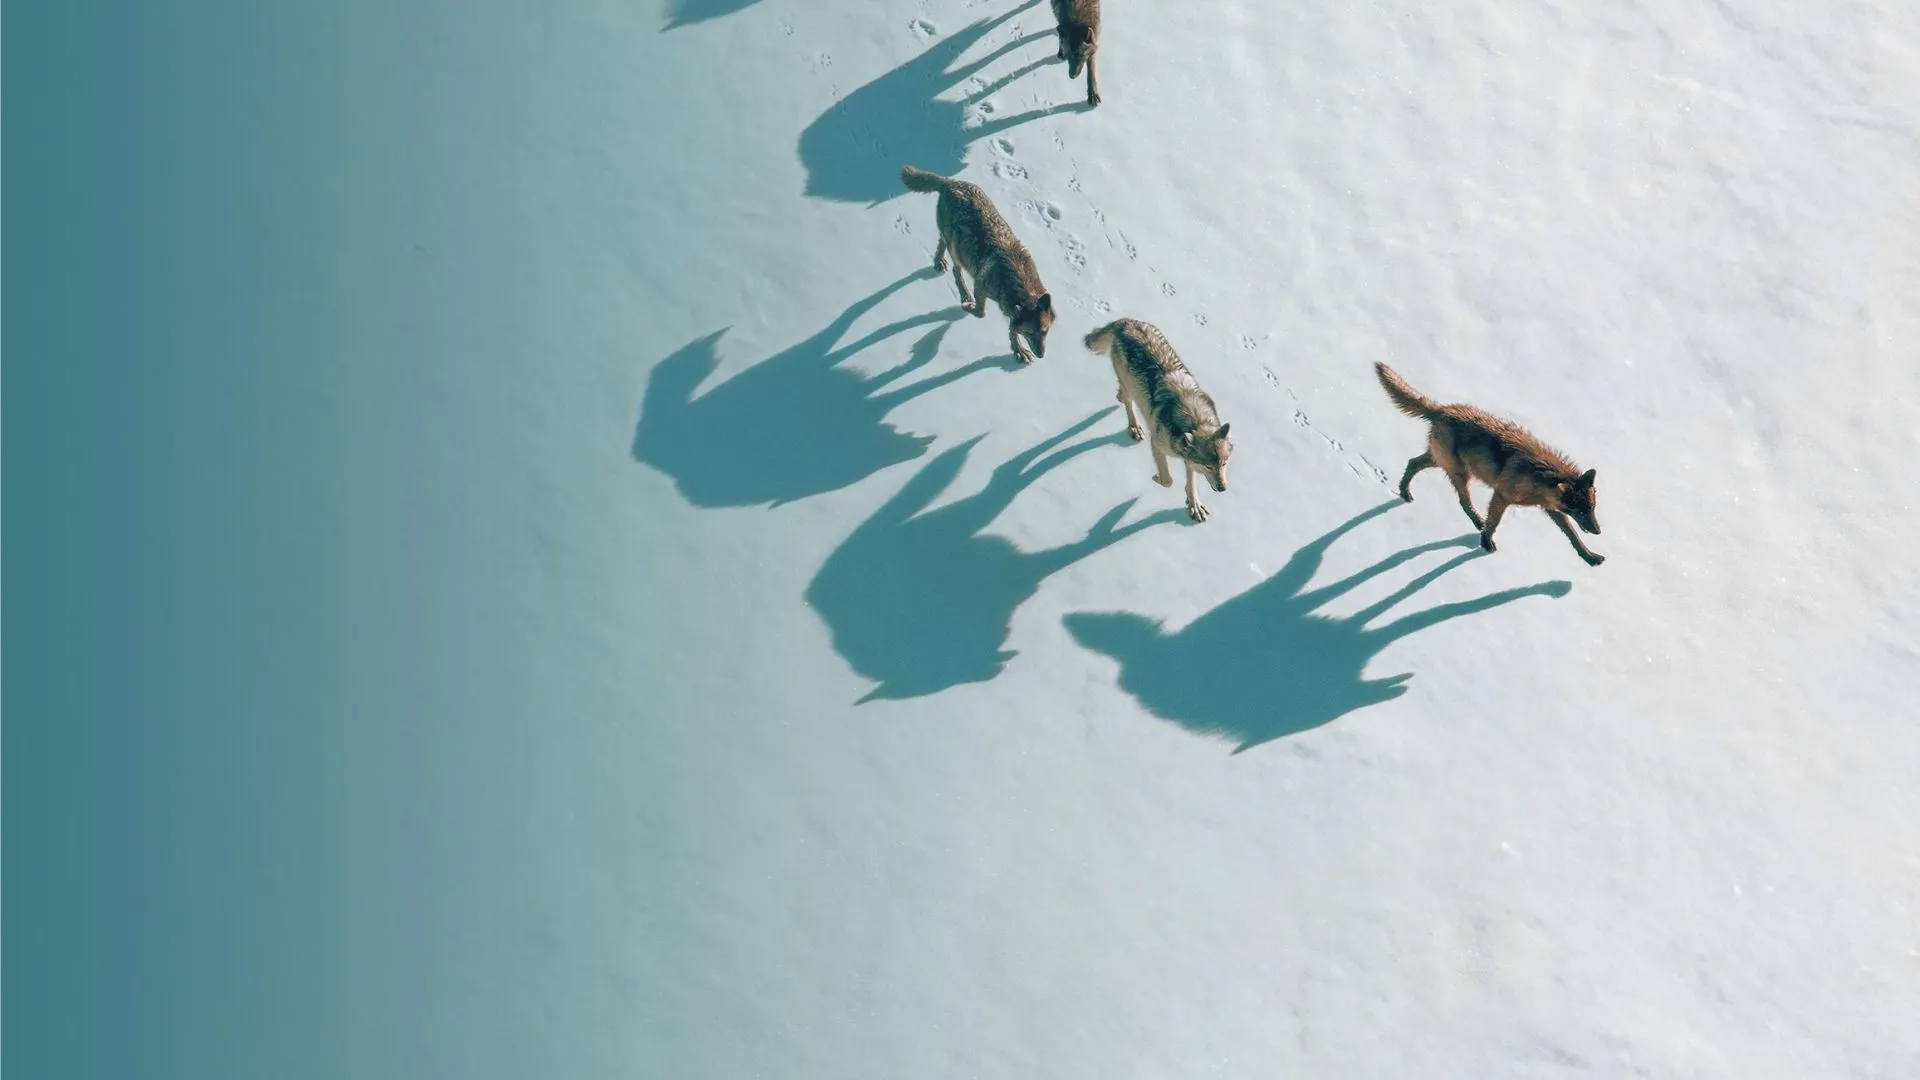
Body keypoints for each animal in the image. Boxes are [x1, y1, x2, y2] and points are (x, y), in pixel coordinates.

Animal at [900, 166, 1055, 365]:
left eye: (1044, 332)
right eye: (1029, 332)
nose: (1041, 355)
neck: (1019, 284)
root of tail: (950, 182)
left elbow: (1011, 330)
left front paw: (1018, 351)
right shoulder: (980, 287)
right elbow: (982, 313)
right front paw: (968, 307)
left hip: (954, 241)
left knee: (942, 243)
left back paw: (939, 262)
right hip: (957, 251)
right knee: (956, 270)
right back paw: (962, 292)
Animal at [1085, 317, 1234, 522]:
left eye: (1224, 464)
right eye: (1208, 466)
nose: (1222, 489)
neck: (1196, 420)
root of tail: (1125, 321)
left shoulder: (1188, 459)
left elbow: (1191, 484)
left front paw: (1194, 505)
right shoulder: (1156, 444)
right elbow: (1167, 480)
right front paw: (1156, 478)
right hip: (1129, 385)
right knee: (1128, 400)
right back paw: (1134, 426)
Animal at [1375, 362, 1605, 566]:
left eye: (1592, 508)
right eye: (1581, 512)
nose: (1598, 531)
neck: (1540, 477)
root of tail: (1440, 409)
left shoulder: (1553, 510)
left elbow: (1573, 535)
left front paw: (1590, 558)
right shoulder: (1501, 496)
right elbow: (1494, 523)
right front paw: (1486, 542)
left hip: (1439, 462)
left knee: (1413, 463)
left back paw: (1405, 493)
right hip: (1460, 473)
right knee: (1463, 501)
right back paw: (1477, 522)